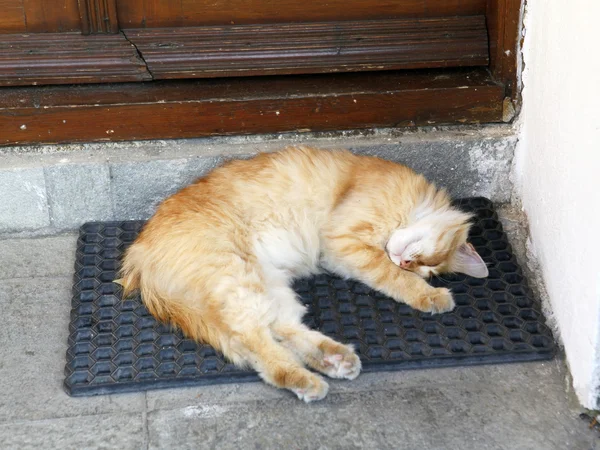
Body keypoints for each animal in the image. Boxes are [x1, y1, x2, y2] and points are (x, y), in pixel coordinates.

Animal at [117, 146, 488, 402]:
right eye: (428, 262)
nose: (405, 262)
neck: (409, 204)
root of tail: (139, 255)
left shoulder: (342, 254)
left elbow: (386, 276)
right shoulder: (343, 244)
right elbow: (391, 278)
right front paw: (431, 296)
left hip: (267, 284)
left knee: (281, 330)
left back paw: (335, 359)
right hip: (236, 278)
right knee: (255, 345)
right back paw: (306, 380)